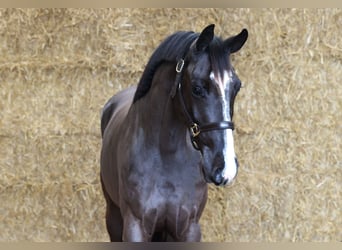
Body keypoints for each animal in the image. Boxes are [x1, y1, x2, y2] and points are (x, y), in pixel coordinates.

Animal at [100, 24, 247, 241]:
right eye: (197, 88)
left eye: (236, 87)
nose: (225, 167)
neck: (166, 154)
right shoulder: (135, 226)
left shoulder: (188, 227)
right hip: (114, 216)